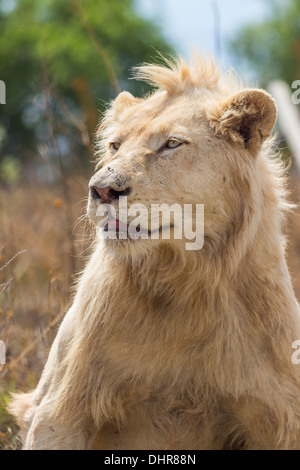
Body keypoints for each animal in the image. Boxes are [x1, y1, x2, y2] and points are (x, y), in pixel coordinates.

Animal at [9, 53, 300, 450]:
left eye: (172, 144)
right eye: (115, 145)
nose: (102, 190)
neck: (186, 281)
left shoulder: (279, 417)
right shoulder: (58, 409)